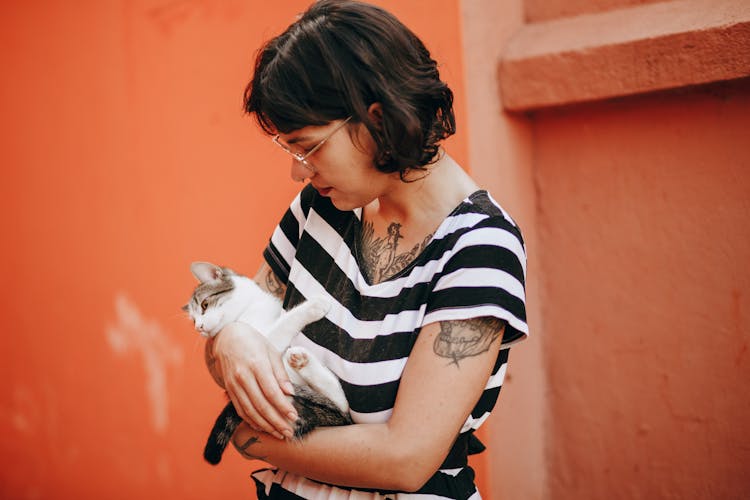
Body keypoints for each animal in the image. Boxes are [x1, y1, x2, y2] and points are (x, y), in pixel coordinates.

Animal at [187, 262, 354, 464]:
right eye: (193, 320)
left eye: (204, 305)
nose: (199, 327)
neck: (247, 309)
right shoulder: (264, 342)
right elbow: (286, 322)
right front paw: (314, 306)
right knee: (341, 404)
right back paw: (302, 361)